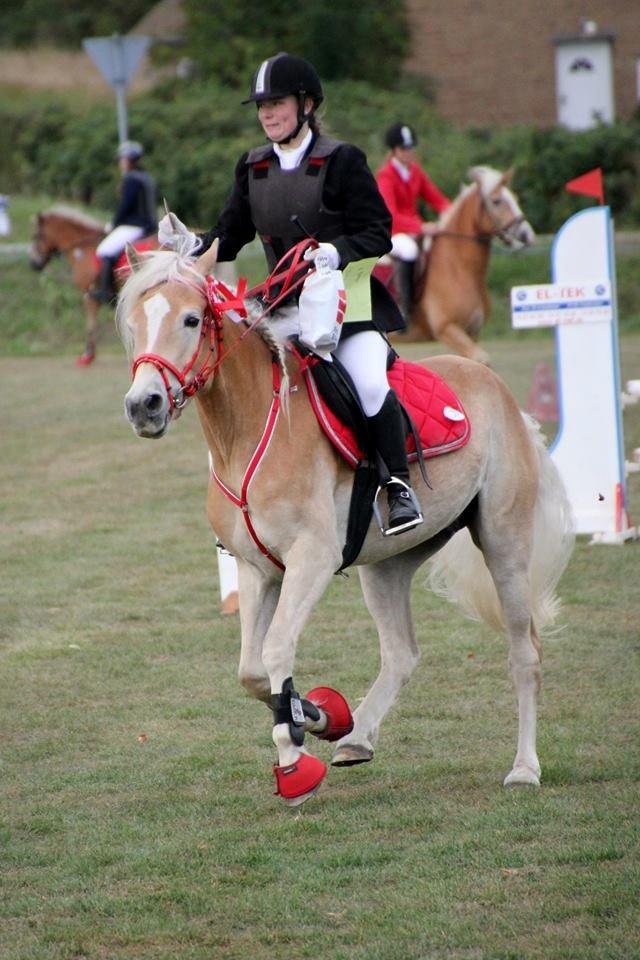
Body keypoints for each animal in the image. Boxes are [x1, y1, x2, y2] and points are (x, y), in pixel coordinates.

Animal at [116, 236, 576, 808]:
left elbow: (275, 649)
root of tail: (500, 391)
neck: (247, 432)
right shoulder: (256, 570)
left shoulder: (311, 560)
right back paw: (355, 735)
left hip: (503, 544)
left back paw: (524, 768)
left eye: (191, 320)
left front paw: (293, 763)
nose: (144, 406)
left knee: (524, 653)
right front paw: (316, 715)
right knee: (401, 653)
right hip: (386, 566)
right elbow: (252, 671)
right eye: (134, 322)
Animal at [390, 165, 536, 364]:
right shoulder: (448, 328)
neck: (458, 268)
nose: (527, 235)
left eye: (515, 198)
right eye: (496, 201)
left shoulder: (472, 332)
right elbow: (481, 358)